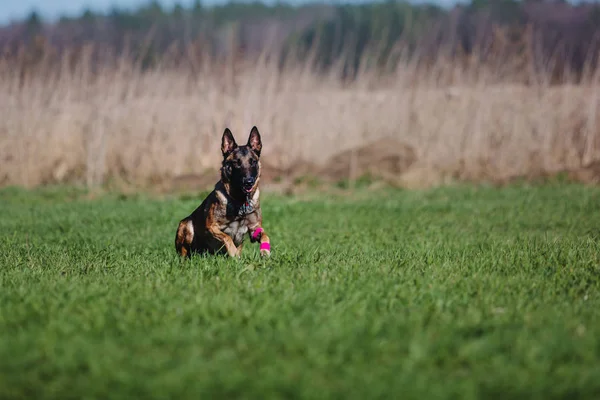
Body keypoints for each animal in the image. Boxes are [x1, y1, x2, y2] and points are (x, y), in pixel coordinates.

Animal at [176, 126, 272, 258]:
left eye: (252, 161)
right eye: (236, 162)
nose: (249, 182)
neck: (240, 201)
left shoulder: (254, 228)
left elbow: (265, 235)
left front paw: (265, 252)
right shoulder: (211, 227)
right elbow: (227, 237)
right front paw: (234, 254)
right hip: (186, 224)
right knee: (184, 252)